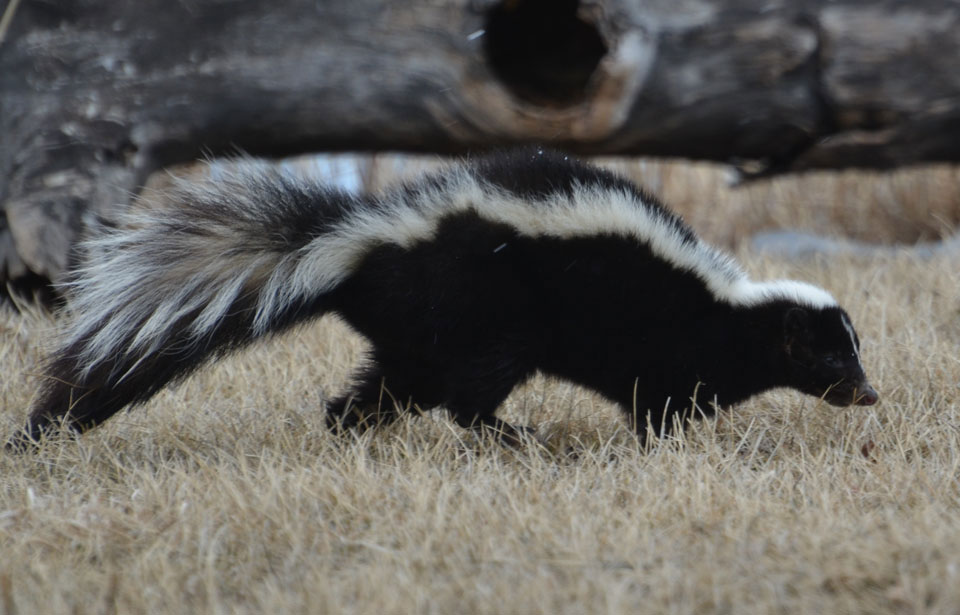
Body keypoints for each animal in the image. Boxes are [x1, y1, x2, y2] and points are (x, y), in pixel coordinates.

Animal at [5, 149, 876, 448]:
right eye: (832, 353)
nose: (870, 393)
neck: (725, 305)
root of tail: (363, 242)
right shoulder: (662, 342)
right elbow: (660, 404)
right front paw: (670, 446)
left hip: (418, 338)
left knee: (376, 391)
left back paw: (349, 434)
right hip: (481, 315)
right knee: (466, 393)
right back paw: (513, 436)